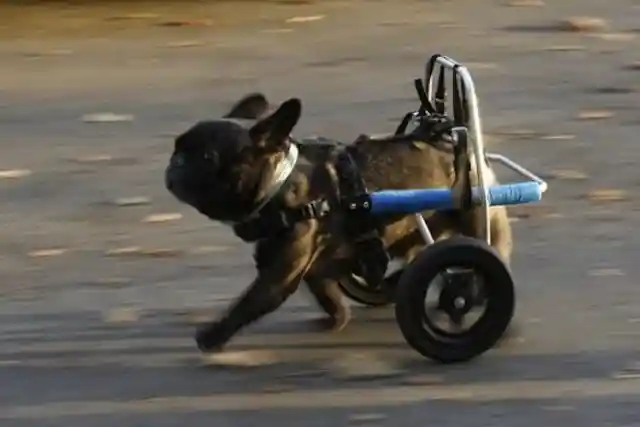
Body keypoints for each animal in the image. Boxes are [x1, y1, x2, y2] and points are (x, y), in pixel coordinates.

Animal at [166, 92, 516, 352]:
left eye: (208, 158)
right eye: (177, 147)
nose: (175, 163)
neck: (279, 182)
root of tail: (460, 143)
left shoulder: (277, 276)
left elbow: (247, 303)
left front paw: (212, 336)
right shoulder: (310, 266)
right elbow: (326, 291)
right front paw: (337, 317)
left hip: (475, 221)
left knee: (485, 258)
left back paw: (470, 291)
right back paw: (393, 282)